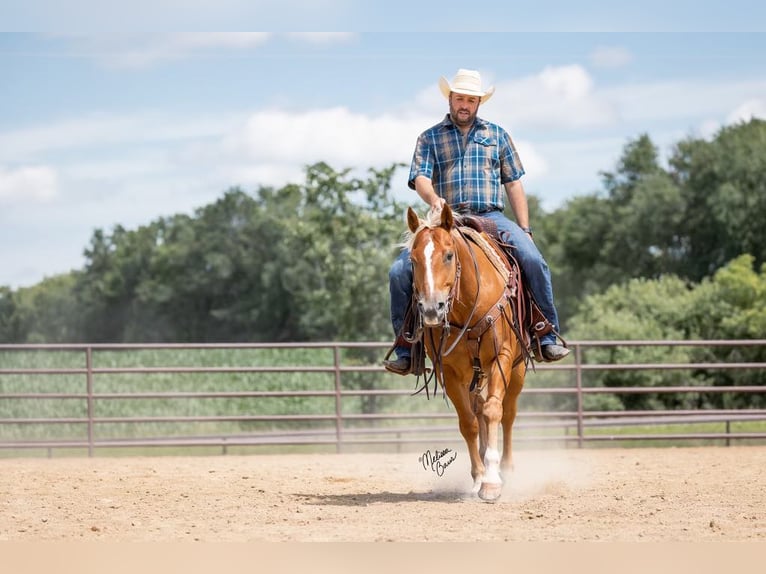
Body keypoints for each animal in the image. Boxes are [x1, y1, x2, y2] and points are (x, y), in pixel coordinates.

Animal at [408, 205, 528, 502]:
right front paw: (479, 478)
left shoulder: (501, 357)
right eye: (412, 261)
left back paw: (506, 469)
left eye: (449, 255)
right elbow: (469, 423)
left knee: (508, 413)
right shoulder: (449, 372)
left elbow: (494, 411)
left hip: (517, 371)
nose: (432, 309)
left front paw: (492, 482)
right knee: (478, 410)